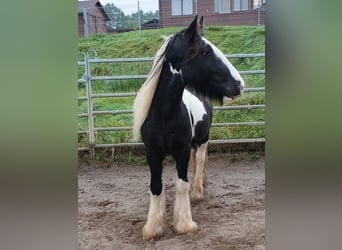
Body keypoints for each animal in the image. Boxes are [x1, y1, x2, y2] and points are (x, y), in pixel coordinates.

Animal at [132, 15, 244, 240]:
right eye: (205, 51)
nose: (239, 84)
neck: (164, 116)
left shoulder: (182, 150)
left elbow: (182, 184)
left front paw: (184, 224)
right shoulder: (152, 152)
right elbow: (156, 186)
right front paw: (153, 228)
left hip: (203, 138)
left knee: (199, 160)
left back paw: (198, 191)